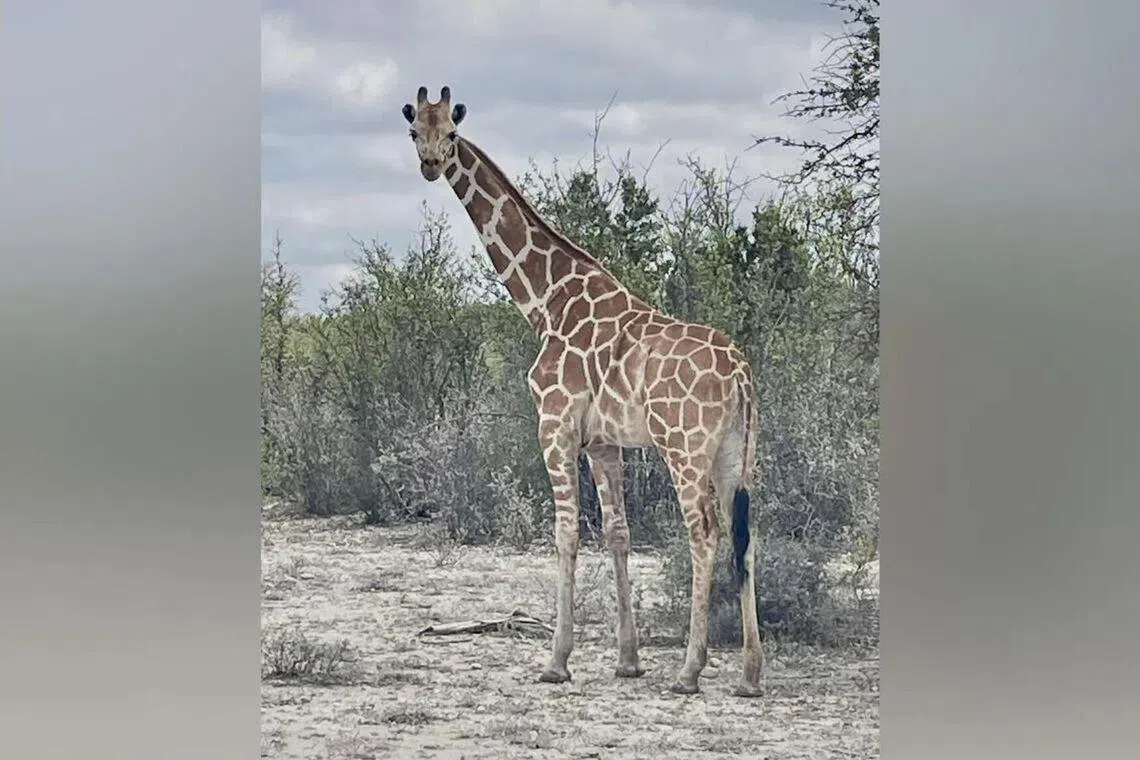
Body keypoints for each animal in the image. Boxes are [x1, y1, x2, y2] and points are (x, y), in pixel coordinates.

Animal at [402, 85, 764, 697]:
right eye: (414, 131)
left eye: (450, 132)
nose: (430, 164)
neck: (546, 301)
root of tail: (740, 371)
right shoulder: (603, 442)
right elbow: (618, 533)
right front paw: (628, 659)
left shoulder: (555, 424)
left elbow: (566, 532)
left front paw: (556, 660)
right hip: (736, 452)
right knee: (746, 534)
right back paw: (750, 674)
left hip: (685, 447)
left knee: (704, 533)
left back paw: (690, 670)